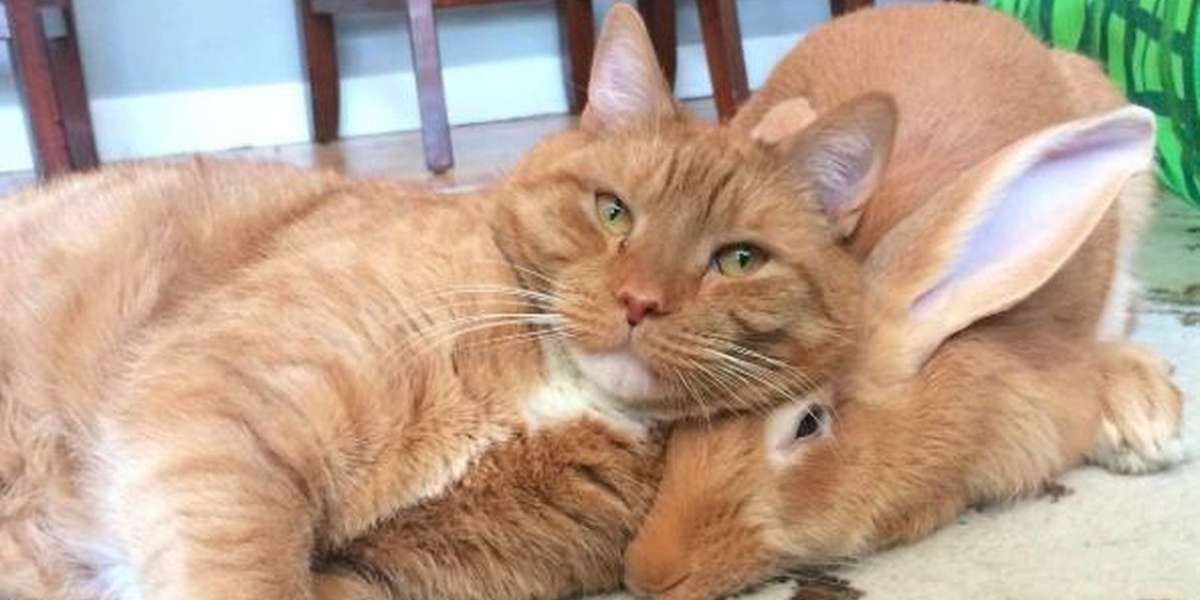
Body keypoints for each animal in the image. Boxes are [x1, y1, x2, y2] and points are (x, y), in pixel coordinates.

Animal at [0, 5, 864, 600]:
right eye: (613, 212)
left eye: (738, 260)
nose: (640, 302)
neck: (555, 386)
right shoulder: (225, 403)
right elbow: (249, 573)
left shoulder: (399, 574)